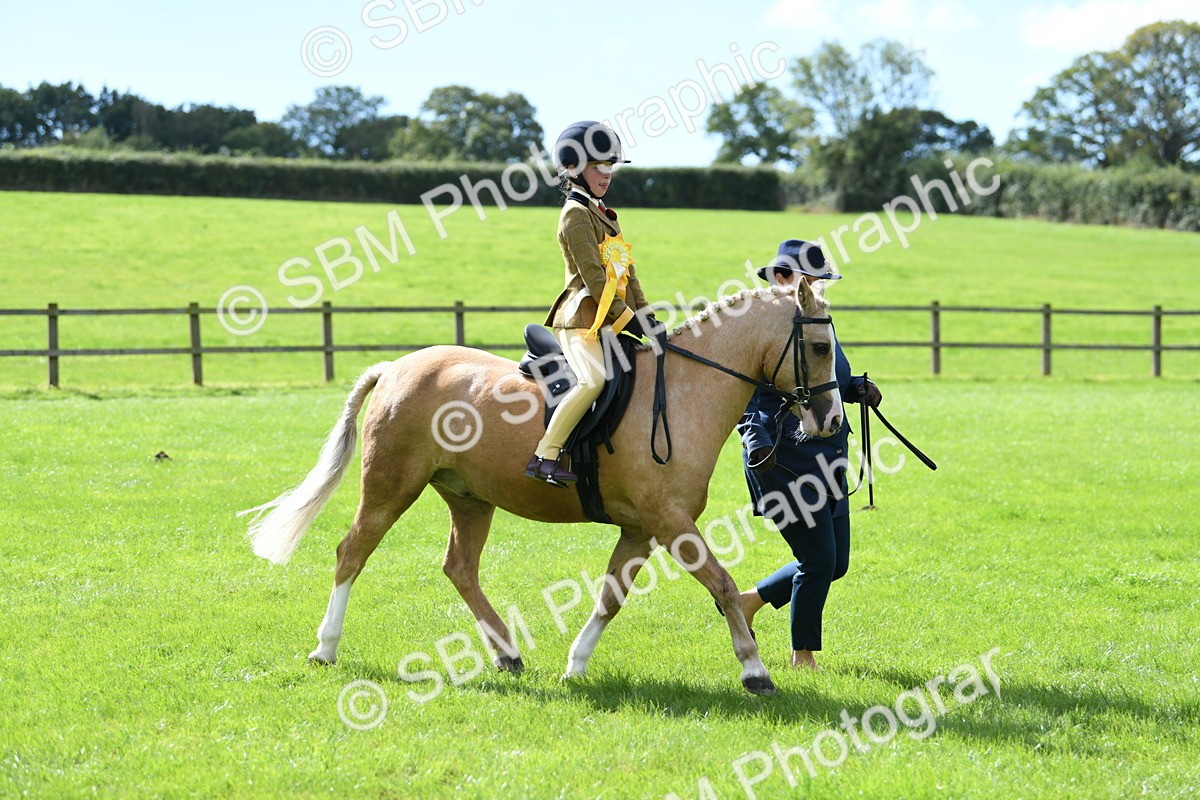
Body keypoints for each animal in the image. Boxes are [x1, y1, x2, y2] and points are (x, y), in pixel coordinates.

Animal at [244, 280, 843, 695]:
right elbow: (722, 584)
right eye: (818, 346)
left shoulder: (640, 529)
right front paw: (755, 670)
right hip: (391, 487)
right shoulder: (671, 523)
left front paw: (575, 665)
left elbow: (610, 597)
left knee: (460, 569)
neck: (681, 392)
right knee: (352, 552)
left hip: (469, 498)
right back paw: (326, 648)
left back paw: (507, 654)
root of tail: (396, 368)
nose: (832, 421)